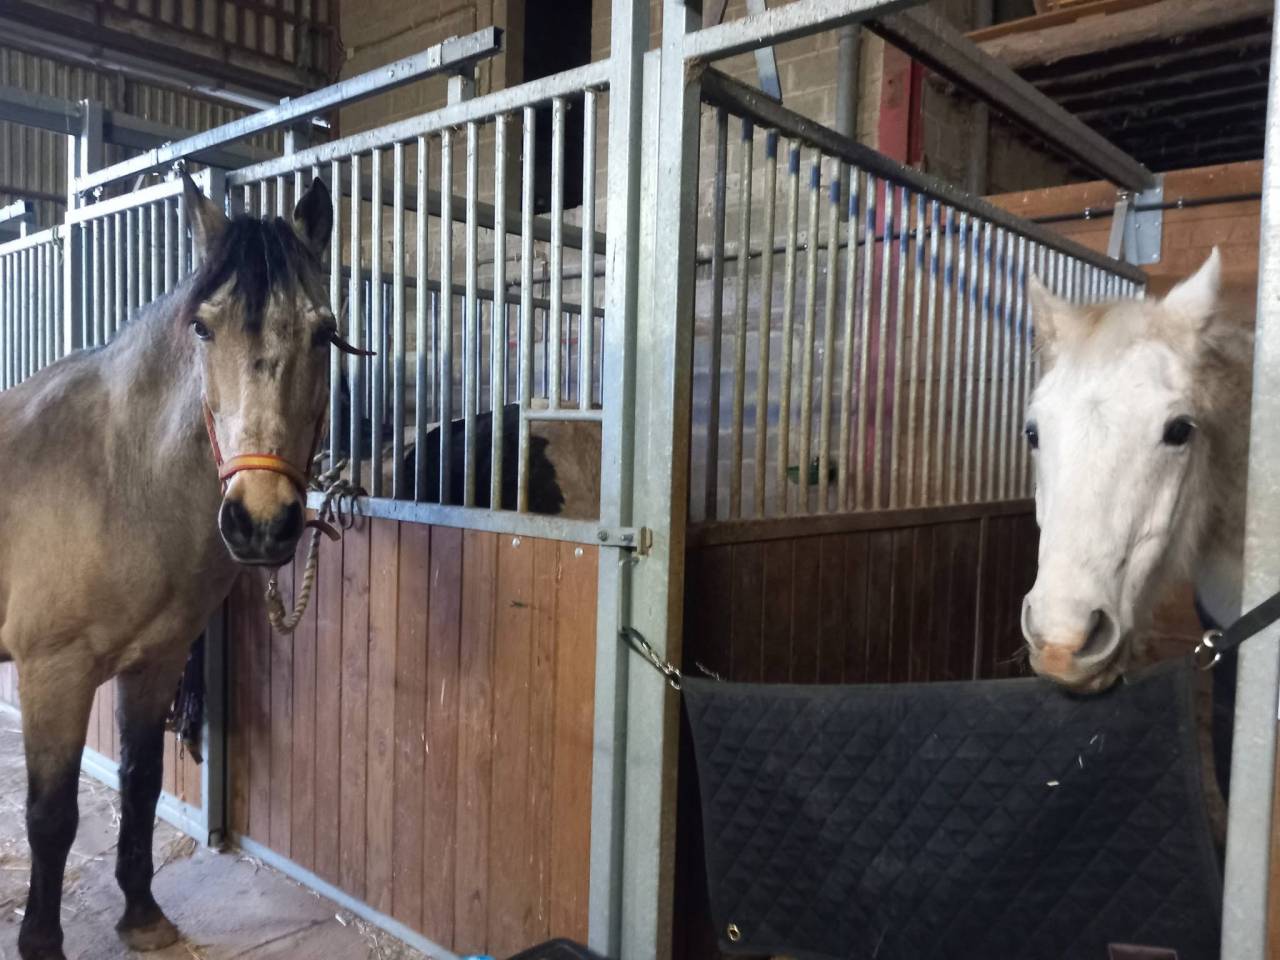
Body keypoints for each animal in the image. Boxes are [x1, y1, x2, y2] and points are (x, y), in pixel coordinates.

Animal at [0, 172, 346, 960]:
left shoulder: (155, 662)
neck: (115, 478)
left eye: (323, 331)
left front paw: (143, 916)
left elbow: (142, 780)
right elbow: (50, 814)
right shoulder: (52, 672)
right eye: (203, 329)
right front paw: (41, 940)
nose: (260, 522)